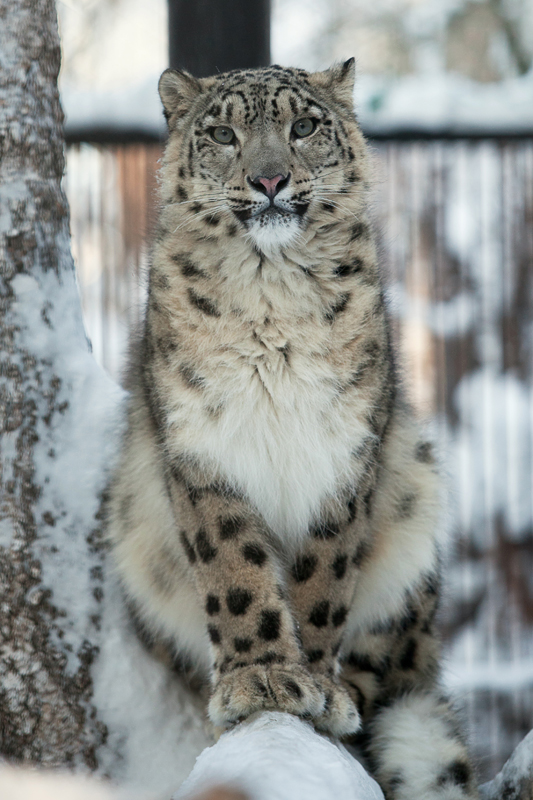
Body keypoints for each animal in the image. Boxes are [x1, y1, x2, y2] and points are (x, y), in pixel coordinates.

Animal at [108, 62, 478, 800]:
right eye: (223, 134)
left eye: (303, 126)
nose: (270, 179)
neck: (270, 300)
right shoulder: (202, 447)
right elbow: (233, 566)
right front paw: (260, 678)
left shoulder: (344, 447)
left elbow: (324, 571)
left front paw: (313, 686)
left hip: (415, 512)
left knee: (392, 664)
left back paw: (353, 691)